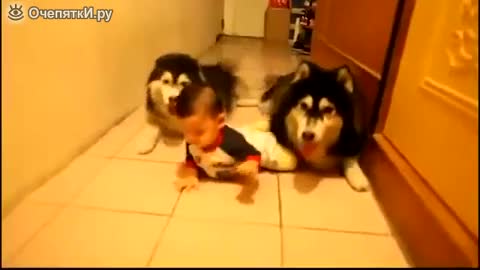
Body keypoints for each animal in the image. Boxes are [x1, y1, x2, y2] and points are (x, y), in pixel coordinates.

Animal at [258, 61, 372, 192]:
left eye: (328, 109)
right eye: (303, 105)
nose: (307, 135)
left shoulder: (356, 138)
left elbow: (351, 157)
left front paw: (357, 175)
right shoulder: (278, 124)